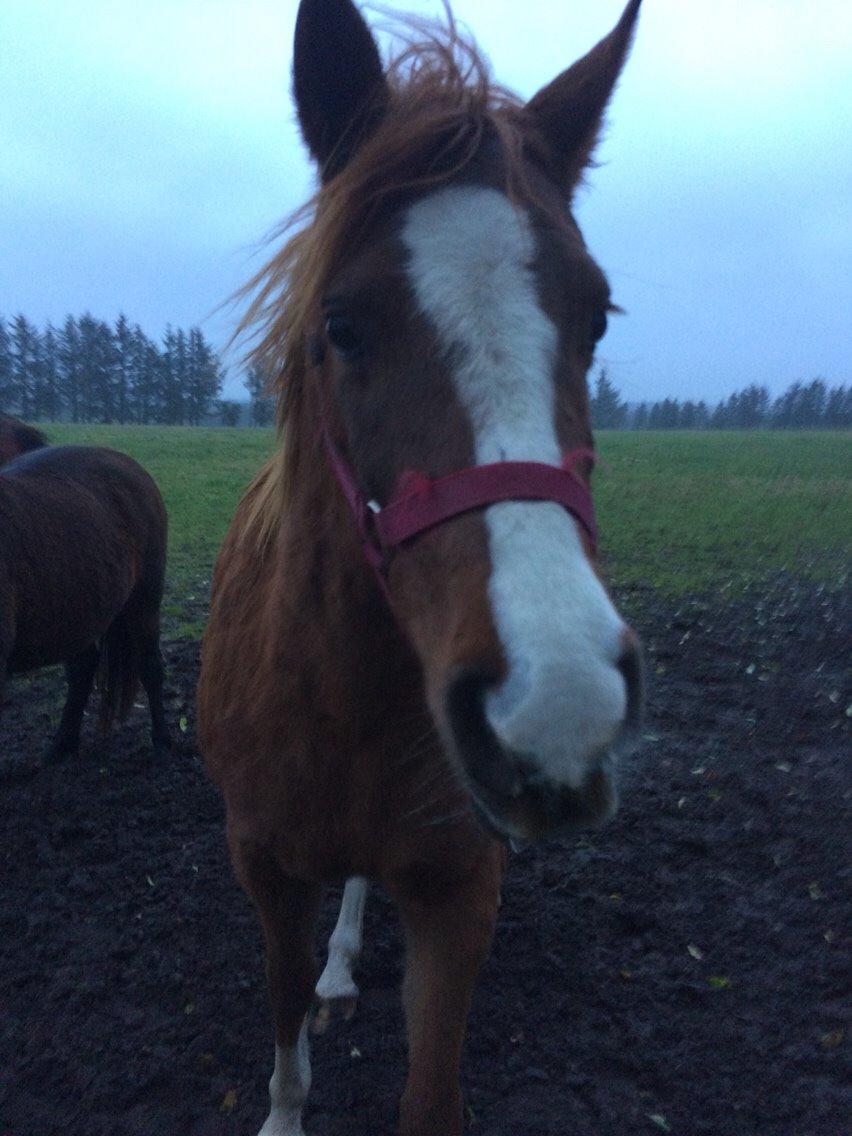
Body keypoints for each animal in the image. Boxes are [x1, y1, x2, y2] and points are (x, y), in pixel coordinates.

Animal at [0, 443, 170, 763]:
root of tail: (131, 465)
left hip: (144, 602)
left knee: (150, 668)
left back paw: (163, 742)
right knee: (82, 670)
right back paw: (61, 745)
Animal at [202, 4, 645, 1131]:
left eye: (597, 315)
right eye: (341, 324)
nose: (558, 701)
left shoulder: (458, 891)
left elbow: (430, 1089)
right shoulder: (264, 868)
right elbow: (282, 1014)